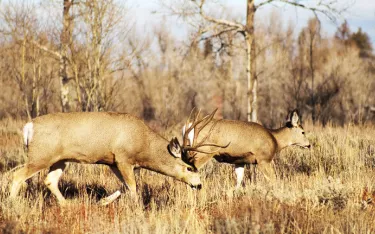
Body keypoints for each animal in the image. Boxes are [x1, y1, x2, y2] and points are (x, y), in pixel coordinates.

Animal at [9, 111, 226, 205]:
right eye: (189, 168)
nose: (199, 185)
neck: (143, 143)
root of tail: (29, 126)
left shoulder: (115, 163)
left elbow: (125, 187)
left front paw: (103, 202)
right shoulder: (123, 159)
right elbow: (133, 188)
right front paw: (138, 209)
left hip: (59, 160)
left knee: (49, 180)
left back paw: (67, 205)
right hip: (40, 156)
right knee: (17, 176)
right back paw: (12, 205)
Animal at [181, 110, 312, 190]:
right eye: (303, 132)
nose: (309, 145)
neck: (274, 139)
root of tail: (188, 126)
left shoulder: (240, 161)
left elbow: (238, 183)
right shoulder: (263, 159)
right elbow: (274, 180)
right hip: (202, 152)